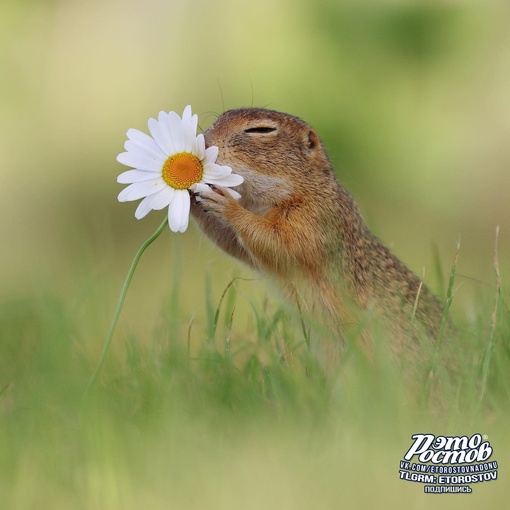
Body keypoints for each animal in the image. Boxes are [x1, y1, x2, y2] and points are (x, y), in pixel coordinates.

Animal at [189, 107, 444, 362]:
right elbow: (234, 243)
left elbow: (281, 242)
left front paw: (227, 206)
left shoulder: (315, 219)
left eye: (261, 130)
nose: (205, 141)